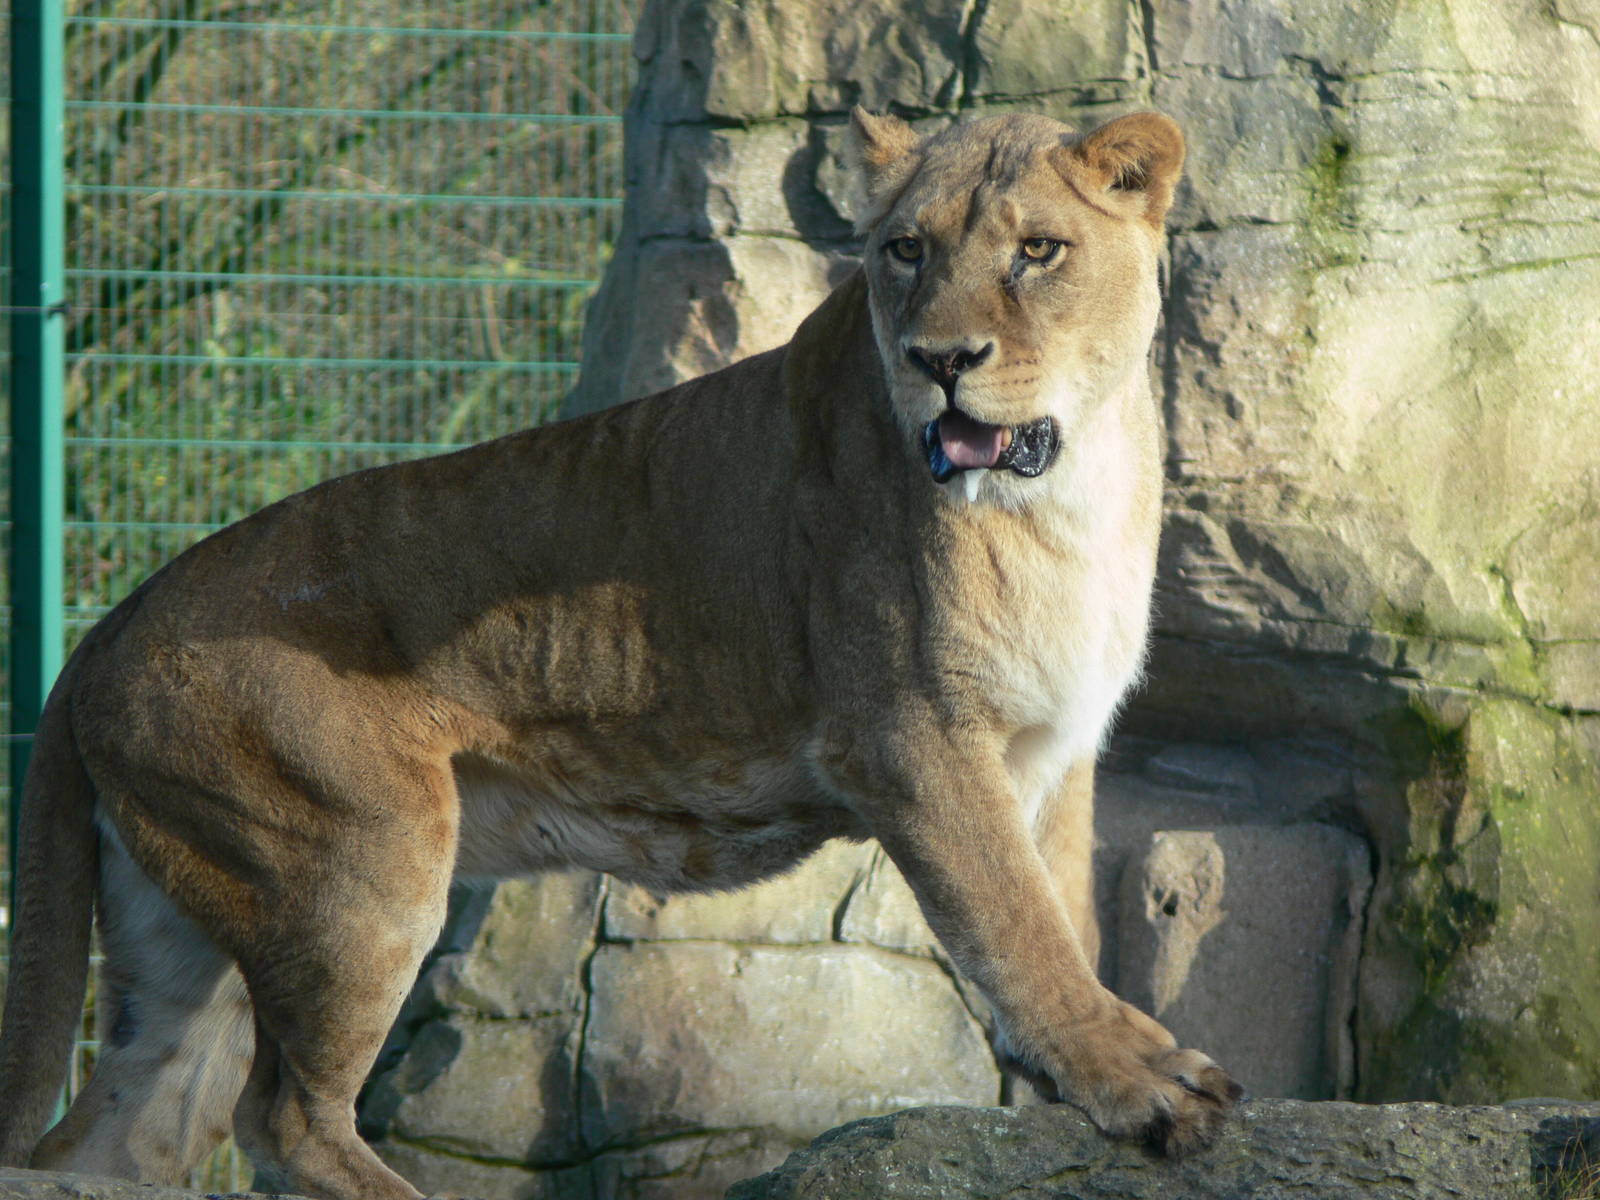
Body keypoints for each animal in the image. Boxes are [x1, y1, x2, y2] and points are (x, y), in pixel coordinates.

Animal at [0, 107, 1239, 1200]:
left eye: (1038, 250)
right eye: (905, 250)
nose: (939, 358)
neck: (1070, 485)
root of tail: (107, 625)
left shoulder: (1052, 749)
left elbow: (1062, 920)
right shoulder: (911, 739)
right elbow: (1020, 927)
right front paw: (1142, 1086)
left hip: (188, 932)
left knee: (110, 1140)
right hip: (357, 863)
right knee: (284, 1120)